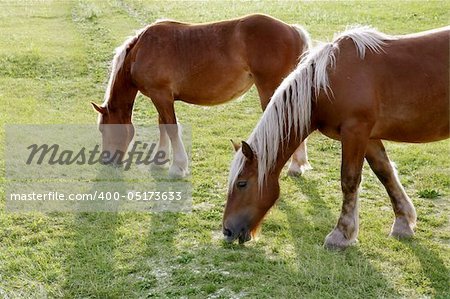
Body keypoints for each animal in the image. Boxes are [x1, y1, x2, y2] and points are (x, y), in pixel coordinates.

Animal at [89, 13, 312, 178]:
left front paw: (177, 167)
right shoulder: (160, 97)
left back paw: (294, 166)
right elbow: (162, 125)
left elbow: (171, 128)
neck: (141, 51)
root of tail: (292, 30)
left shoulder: (160, 96)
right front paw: (160, 161)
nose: (106, 161)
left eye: (103, 129)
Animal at [223, 25, 448, 250]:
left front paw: (341, 235)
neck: (326, 83)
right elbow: (385, 173)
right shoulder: (369, 138)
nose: (227, 231)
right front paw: (403, 223)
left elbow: (349, 180)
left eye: (241, 183)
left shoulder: (355, 132)